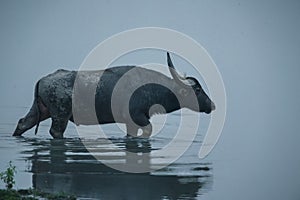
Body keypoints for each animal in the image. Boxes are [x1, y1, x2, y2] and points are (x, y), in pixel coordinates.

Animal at [12, 52, 214, 138]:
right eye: (198, 90)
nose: (212, 105)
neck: (152, 87)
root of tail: (43, 79)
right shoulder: (138, 117)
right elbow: (147, 132)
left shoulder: (132, 122)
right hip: (60, 114)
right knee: (56, 132)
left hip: (41, 110)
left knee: (23, 122)